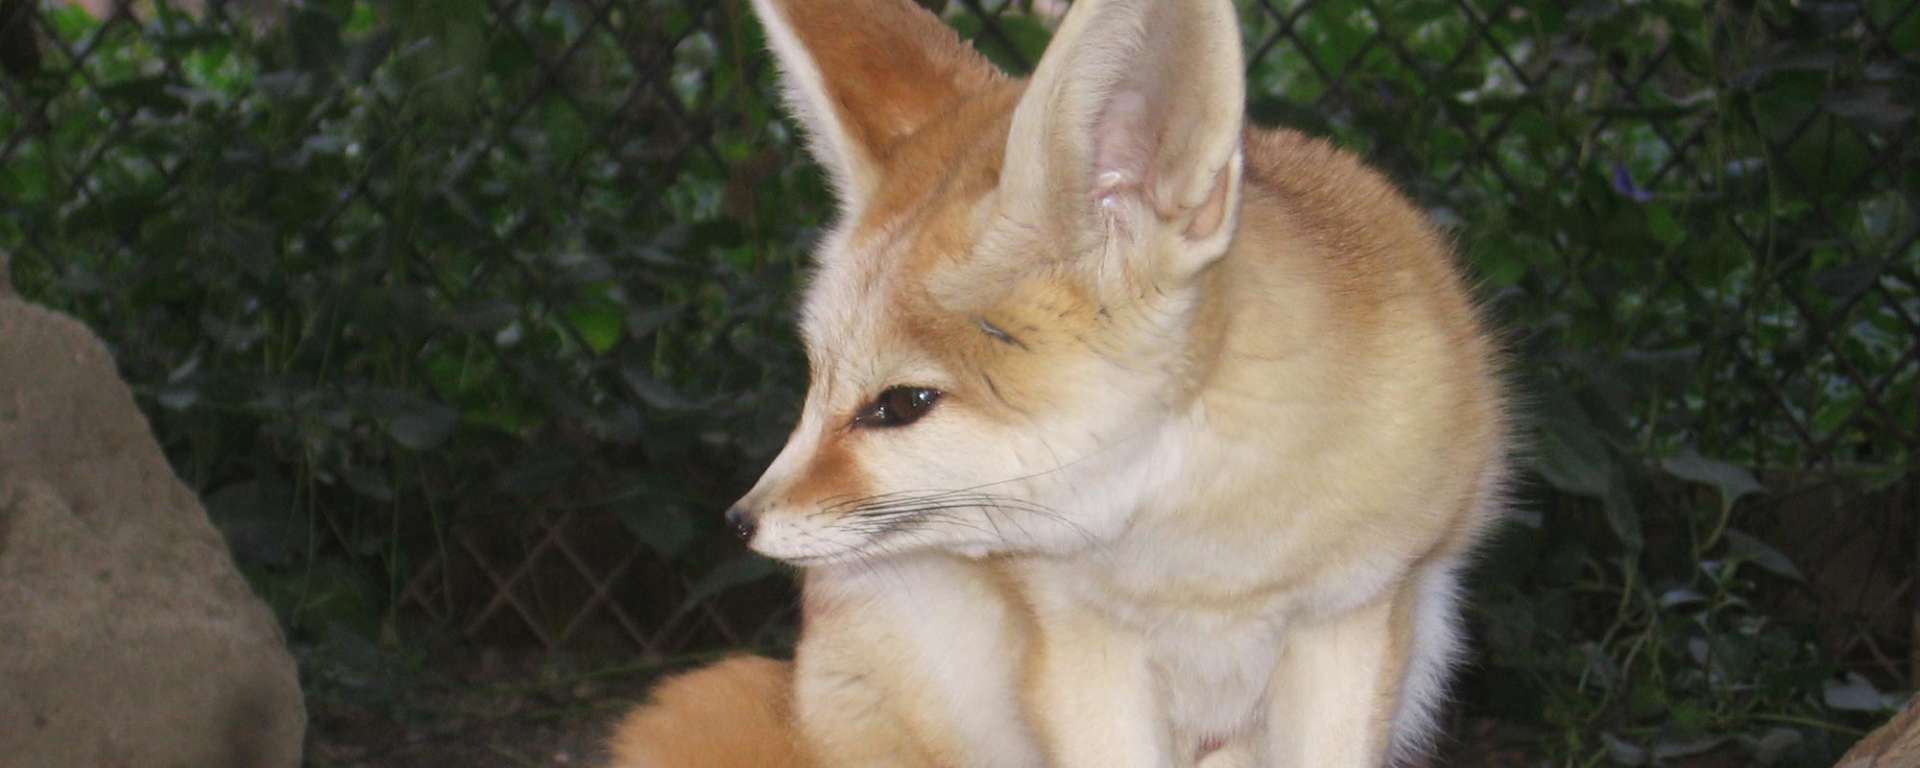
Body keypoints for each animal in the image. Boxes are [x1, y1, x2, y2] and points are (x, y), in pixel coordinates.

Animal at [607, 0, 1510, 765]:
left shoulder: (1350, 624)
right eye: (815, 380)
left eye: (901, 405)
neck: (1206, 560)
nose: (739, 522)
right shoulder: (1081, 647)